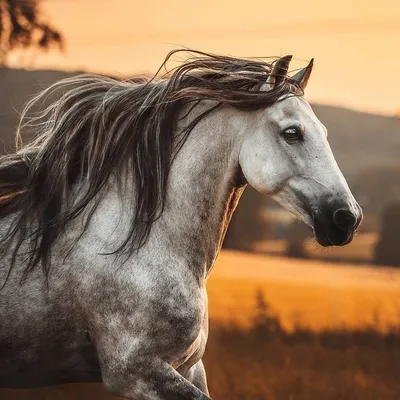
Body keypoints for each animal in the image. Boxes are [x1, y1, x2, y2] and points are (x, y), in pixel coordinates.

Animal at [0, 50, 362, 400]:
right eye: (292, 133)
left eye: (323, 132)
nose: (348, 218)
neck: (138, 246)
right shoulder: (135, 372)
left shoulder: (189, 367)